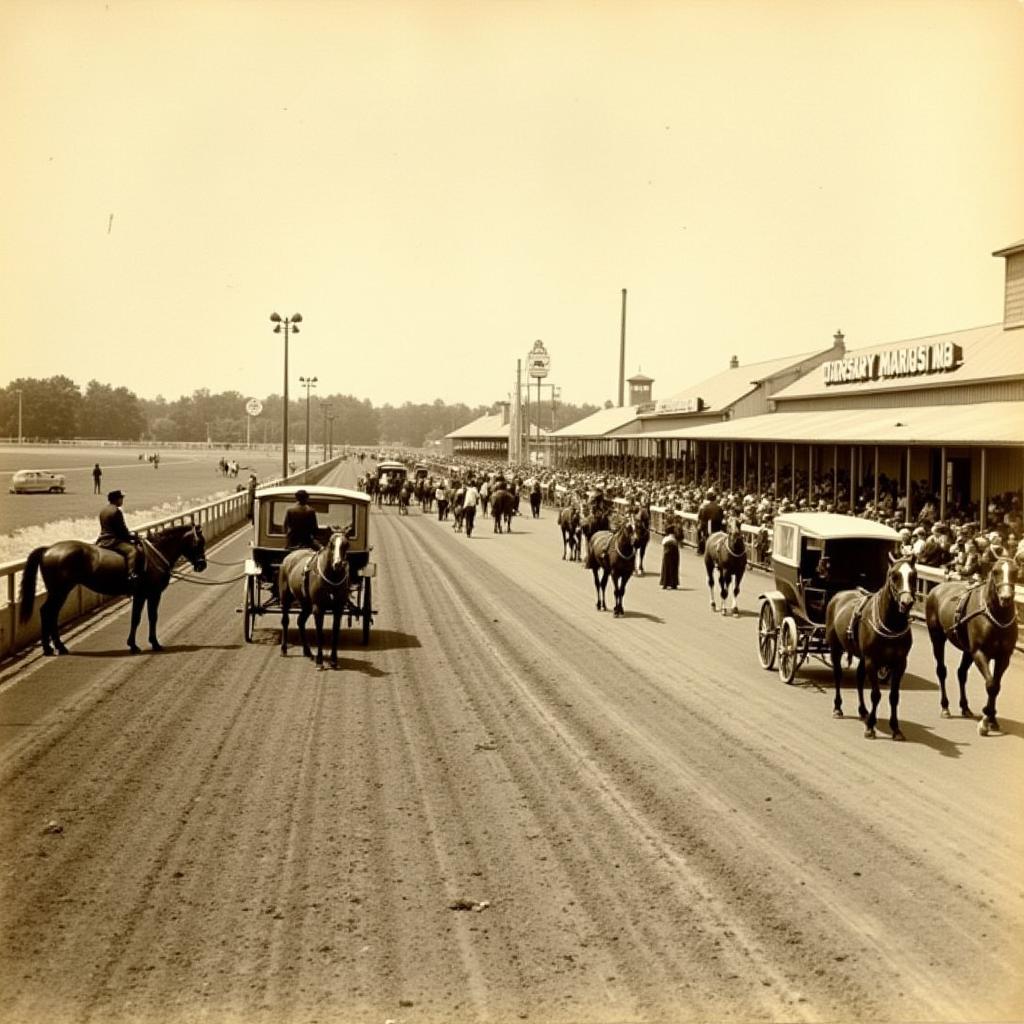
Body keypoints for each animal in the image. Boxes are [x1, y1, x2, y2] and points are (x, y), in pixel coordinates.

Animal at [19, 520, 207, 655]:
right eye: (199, 543)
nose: (202, 565)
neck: (156, 554)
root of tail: (48, 549)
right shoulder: (149, 594)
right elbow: (144, 618)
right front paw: (146, 644)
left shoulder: (144, 595)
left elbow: (143, 617)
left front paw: (139, 643)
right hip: (60, 591)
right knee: (48, 613)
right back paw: (53, 648)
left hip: (59, 591)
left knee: (50, 613)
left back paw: (54, 647)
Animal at [280, 528, 352, 671]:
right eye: (331, 544)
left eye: (346, 544)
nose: (338, 564)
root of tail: (290, 556)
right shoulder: (318, 608)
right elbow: (320, 634)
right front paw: (320, 661)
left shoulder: (338, 609)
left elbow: (335, 633)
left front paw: (333, 660)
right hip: (286, 597)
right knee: (285, 621)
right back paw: (284, 648)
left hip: (306, 604)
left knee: (300, 621)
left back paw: (307, 651)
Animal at [823, 557, 921, 741]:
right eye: (894, 576)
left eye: (913, 576)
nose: (907, 602)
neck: (891, 624)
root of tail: (839, 595)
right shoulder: (872, 660)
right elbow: (876, 694)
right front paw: (870, 727)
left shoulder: (900, 663)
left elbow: (894, 696)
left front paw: (896, 728)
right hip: (835, 647)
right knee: (838, 675)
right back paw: (837, 708)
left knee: (859, 679)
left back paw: (863, 710)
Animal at [925, 561, 1019, 737]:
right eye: (995, 571)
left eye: (1015, 571)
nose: (1006, 597)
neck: (995, 616)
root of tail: (937, 588)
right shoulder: (980, 653)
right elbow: (991, 684)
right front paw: (985, 720)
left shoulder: (1003, 657)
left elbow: (996, 685)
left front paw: (992, 719)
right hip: (937, 637)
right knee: (941, 670)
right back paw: (945, 707)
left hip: (967, 651)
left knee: (961, 673)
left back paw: (965, 707)